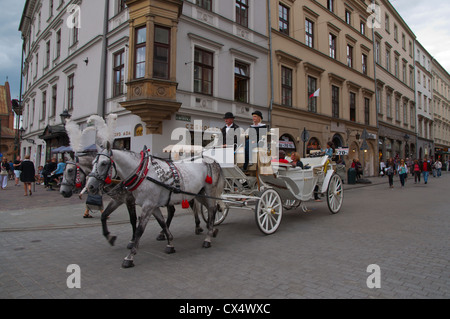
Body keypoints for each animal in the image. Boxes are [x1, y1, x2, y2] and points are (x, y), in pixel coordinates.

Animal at [85, 144, 225, 268]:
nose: (90, 186)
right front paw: (170, 243)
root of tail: (211, 160)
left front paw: (130, 256)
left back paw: (208, 238)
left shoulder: (146, 206)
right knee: (209, 209)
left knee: (211, 210)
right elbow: (162, 223)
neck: (143, 173)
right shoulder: (152, 206)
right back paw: (211, 229)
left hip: (209, 191)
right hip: (199, 194)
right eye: (92, 163)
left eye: (104, 163)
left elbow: (139, 229)